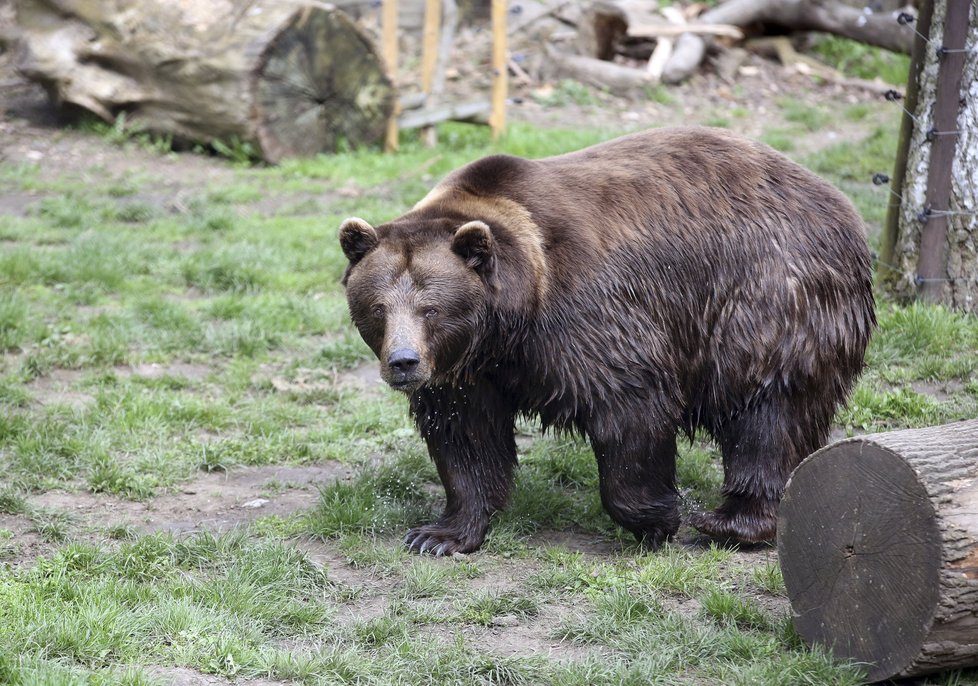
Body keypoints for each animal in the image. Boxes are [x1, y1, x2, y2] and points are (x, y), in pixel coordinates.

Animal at [340, 127, 872, 560]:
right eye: (378, 308)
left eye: (431, 308)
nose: (404, 362)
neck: (510, 322)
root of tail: (836, 198)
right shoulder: (465, 372)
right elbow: (466, 440)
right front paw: (439, 534)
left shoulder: (588, 318)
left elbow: (630, 406)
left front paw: (658, 519)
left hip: (769, 299)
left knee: (769, 409)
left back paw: (731, 521)